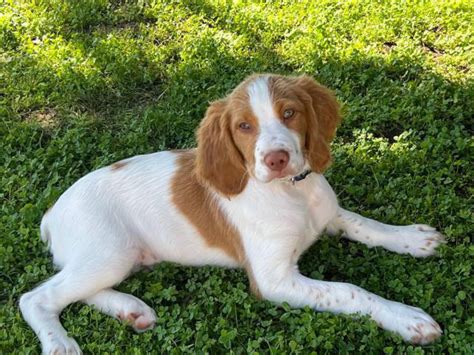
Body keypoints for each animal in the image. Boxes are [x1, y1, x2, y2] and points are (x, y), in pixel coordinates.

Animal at [20, 73, 444, 354]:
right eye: (244, 126)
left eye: (289, 113)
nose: (276, 159)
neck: (292, 192)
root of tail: (51, 213)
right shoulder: (274, 281)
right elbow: (350, 291)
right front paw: (406, 317)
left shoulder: (329, 215)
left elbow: (366, 224)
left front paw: (412, 237)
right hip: (110, 252)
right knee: (37, 297)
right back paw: (61, 344)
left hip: (116, 259)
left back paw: (132, 310)